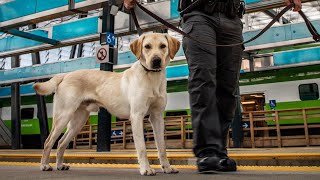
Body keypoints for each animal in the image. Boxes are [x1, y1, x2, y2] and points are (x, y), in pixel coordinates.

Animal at [34, 33, 182, 175]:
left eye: (163, 46)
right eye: (147, 46)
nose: (156, 61)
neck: (152, 78)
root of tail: (65, 75)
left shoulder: (157, 117)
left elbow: (162, 147)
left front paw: (167, 168)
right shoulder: (137, 116)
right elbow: (142, 148)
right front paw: (145, 169)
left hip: (78, 121)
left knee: (61, 142)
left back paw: (59, 165)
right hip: (63, 116)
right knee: (48, 142)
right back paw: (44, 165)